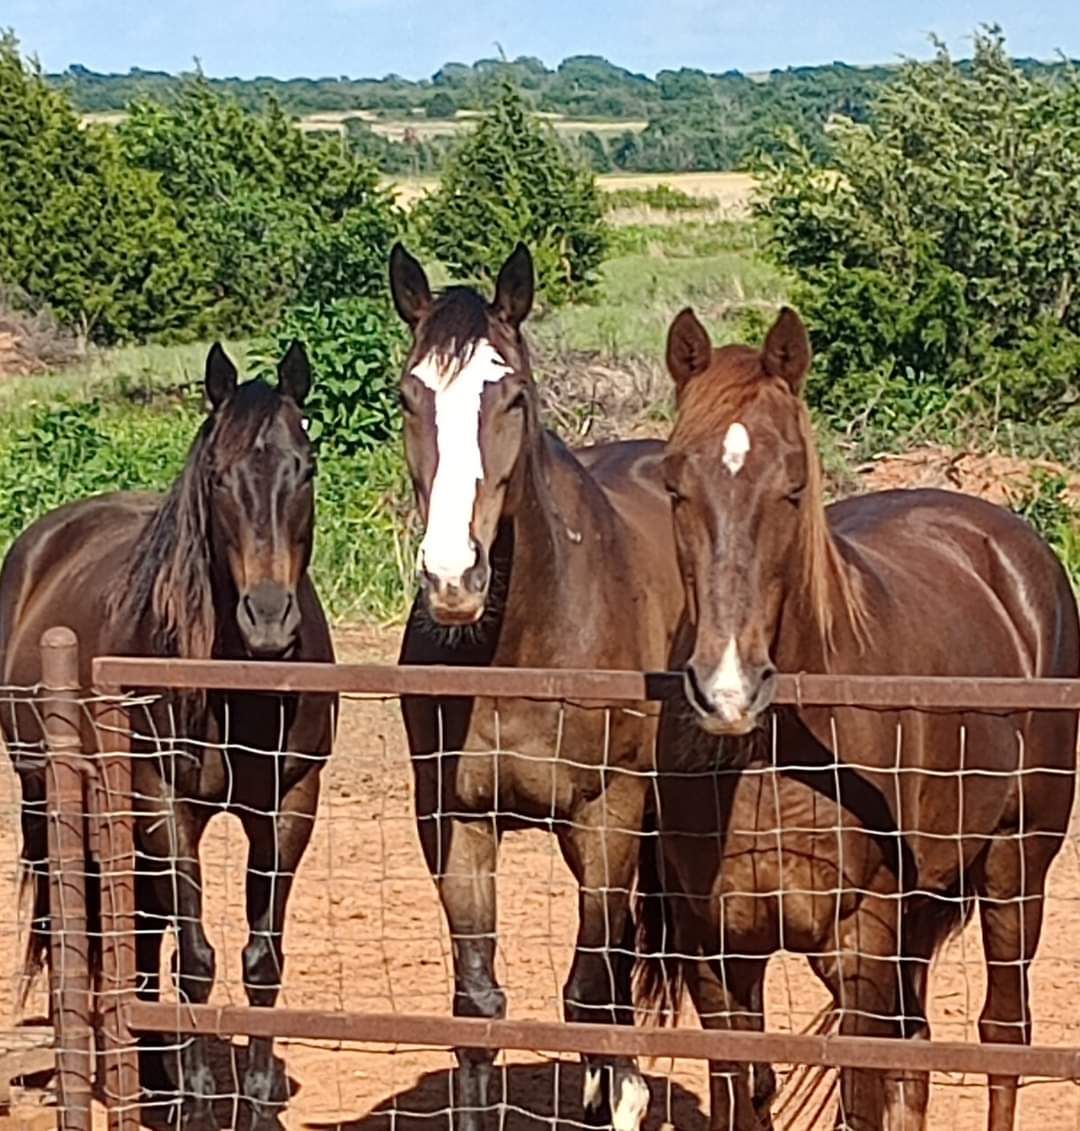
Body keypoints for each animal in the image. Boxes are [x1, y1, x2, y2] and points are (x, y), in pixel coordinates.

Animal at [0, 342, 336, 1129]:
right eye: (217, 476)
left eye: (305, 467)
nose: (268, 620)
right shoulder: (166, 801)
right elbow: (196, 956)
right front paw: (198, 1099)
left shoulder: (288, 805)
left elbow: (260, 958)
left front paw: (258, 1099)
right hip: (56, 797)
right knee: (88, 929)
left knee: (139, 926)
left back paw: (152, 1070)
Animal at [389, 242, 684, 1131]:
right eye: (408, 396)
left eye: (510, 393)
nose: (453, 577)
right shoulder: (456, 821)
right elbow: (478, 1006)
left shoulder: (609, 811)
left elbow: (590, 990)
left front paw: (620, 1096)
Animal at [635, 305, 1079, 1131]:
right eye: (676, 483)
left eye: (793, 486)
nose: (727, 688)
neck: (781, 757)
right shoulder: (719, 951)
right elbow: (748, 1089)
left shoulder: (859, 938)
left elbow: (862, 1094)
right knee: (917, 1051)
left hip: (1017, 865)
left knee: (1002, 1035)